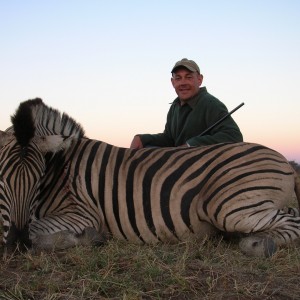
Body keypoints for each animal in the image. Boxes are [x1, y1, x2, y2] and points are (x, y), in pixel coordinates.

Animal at [0, 98, 298, 255]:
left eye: (38, 179)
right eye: (2, 178)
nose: (16, 243)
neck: (60, 169)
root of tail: (283, 161)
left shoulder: (83, 214)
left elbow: (37, 230)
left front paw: (87, 238)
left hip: (229, 206)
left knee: (291, 219)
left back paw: (258, 243)